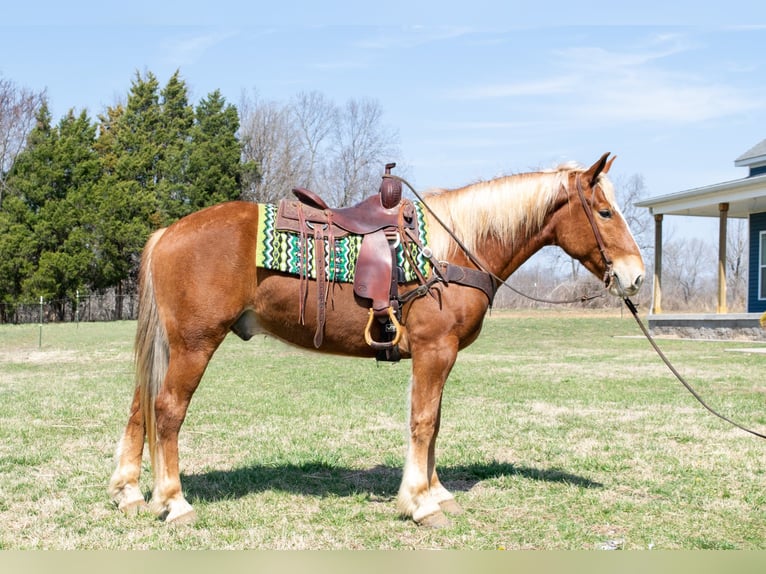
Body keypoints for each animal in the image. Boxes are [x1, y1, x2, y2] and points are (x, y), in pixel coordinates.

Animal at [108, 152, 644, 527]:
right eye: (604, 212)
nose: (635, 277)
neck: (451, 250)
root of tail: (168, 231)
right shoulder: (434, 351)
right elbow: (423, 423)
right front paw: (420, 504)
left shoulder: (438, 356)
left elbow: (435, 422)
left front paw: (435, 491)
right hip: (194, 345)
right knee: (167, 411)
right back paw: (174, 503)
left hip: (170, 346)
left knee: (139, 407)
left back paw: (129, 492)